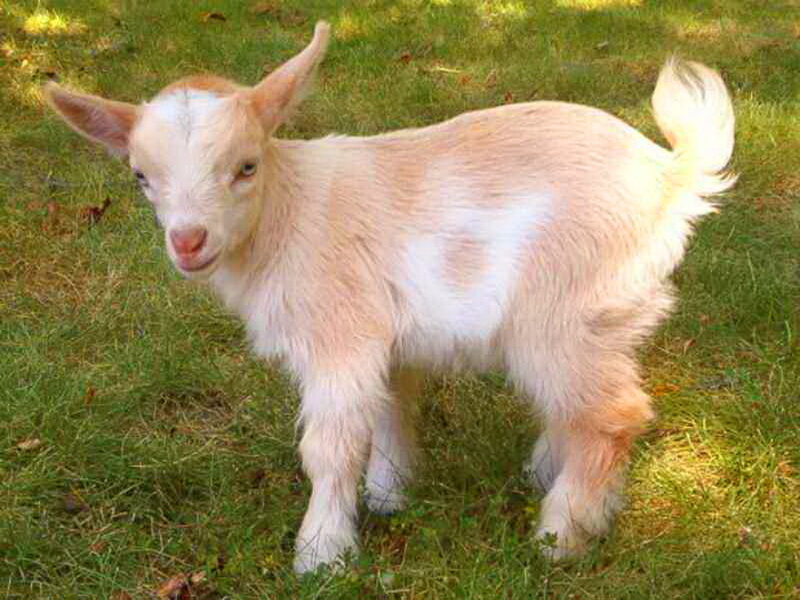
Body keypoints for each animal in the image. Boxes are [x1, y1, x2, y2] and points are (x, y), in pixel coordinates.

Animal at [43, 21, 735, 573]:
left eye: (246, 166)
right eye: (141, 177)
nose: (189, 242)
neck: (289, 212)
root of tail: (672, 175)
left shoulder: (339, 334)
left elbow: (329, 447)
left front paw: (321, 553)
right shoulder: (385, 339)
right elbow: (388, 408)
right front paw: (388, 494)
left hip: (565, 309)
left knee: (614, 415)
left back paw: (560, 536)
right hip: (607, 316)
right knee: (591, 406)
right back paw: (567, 488)